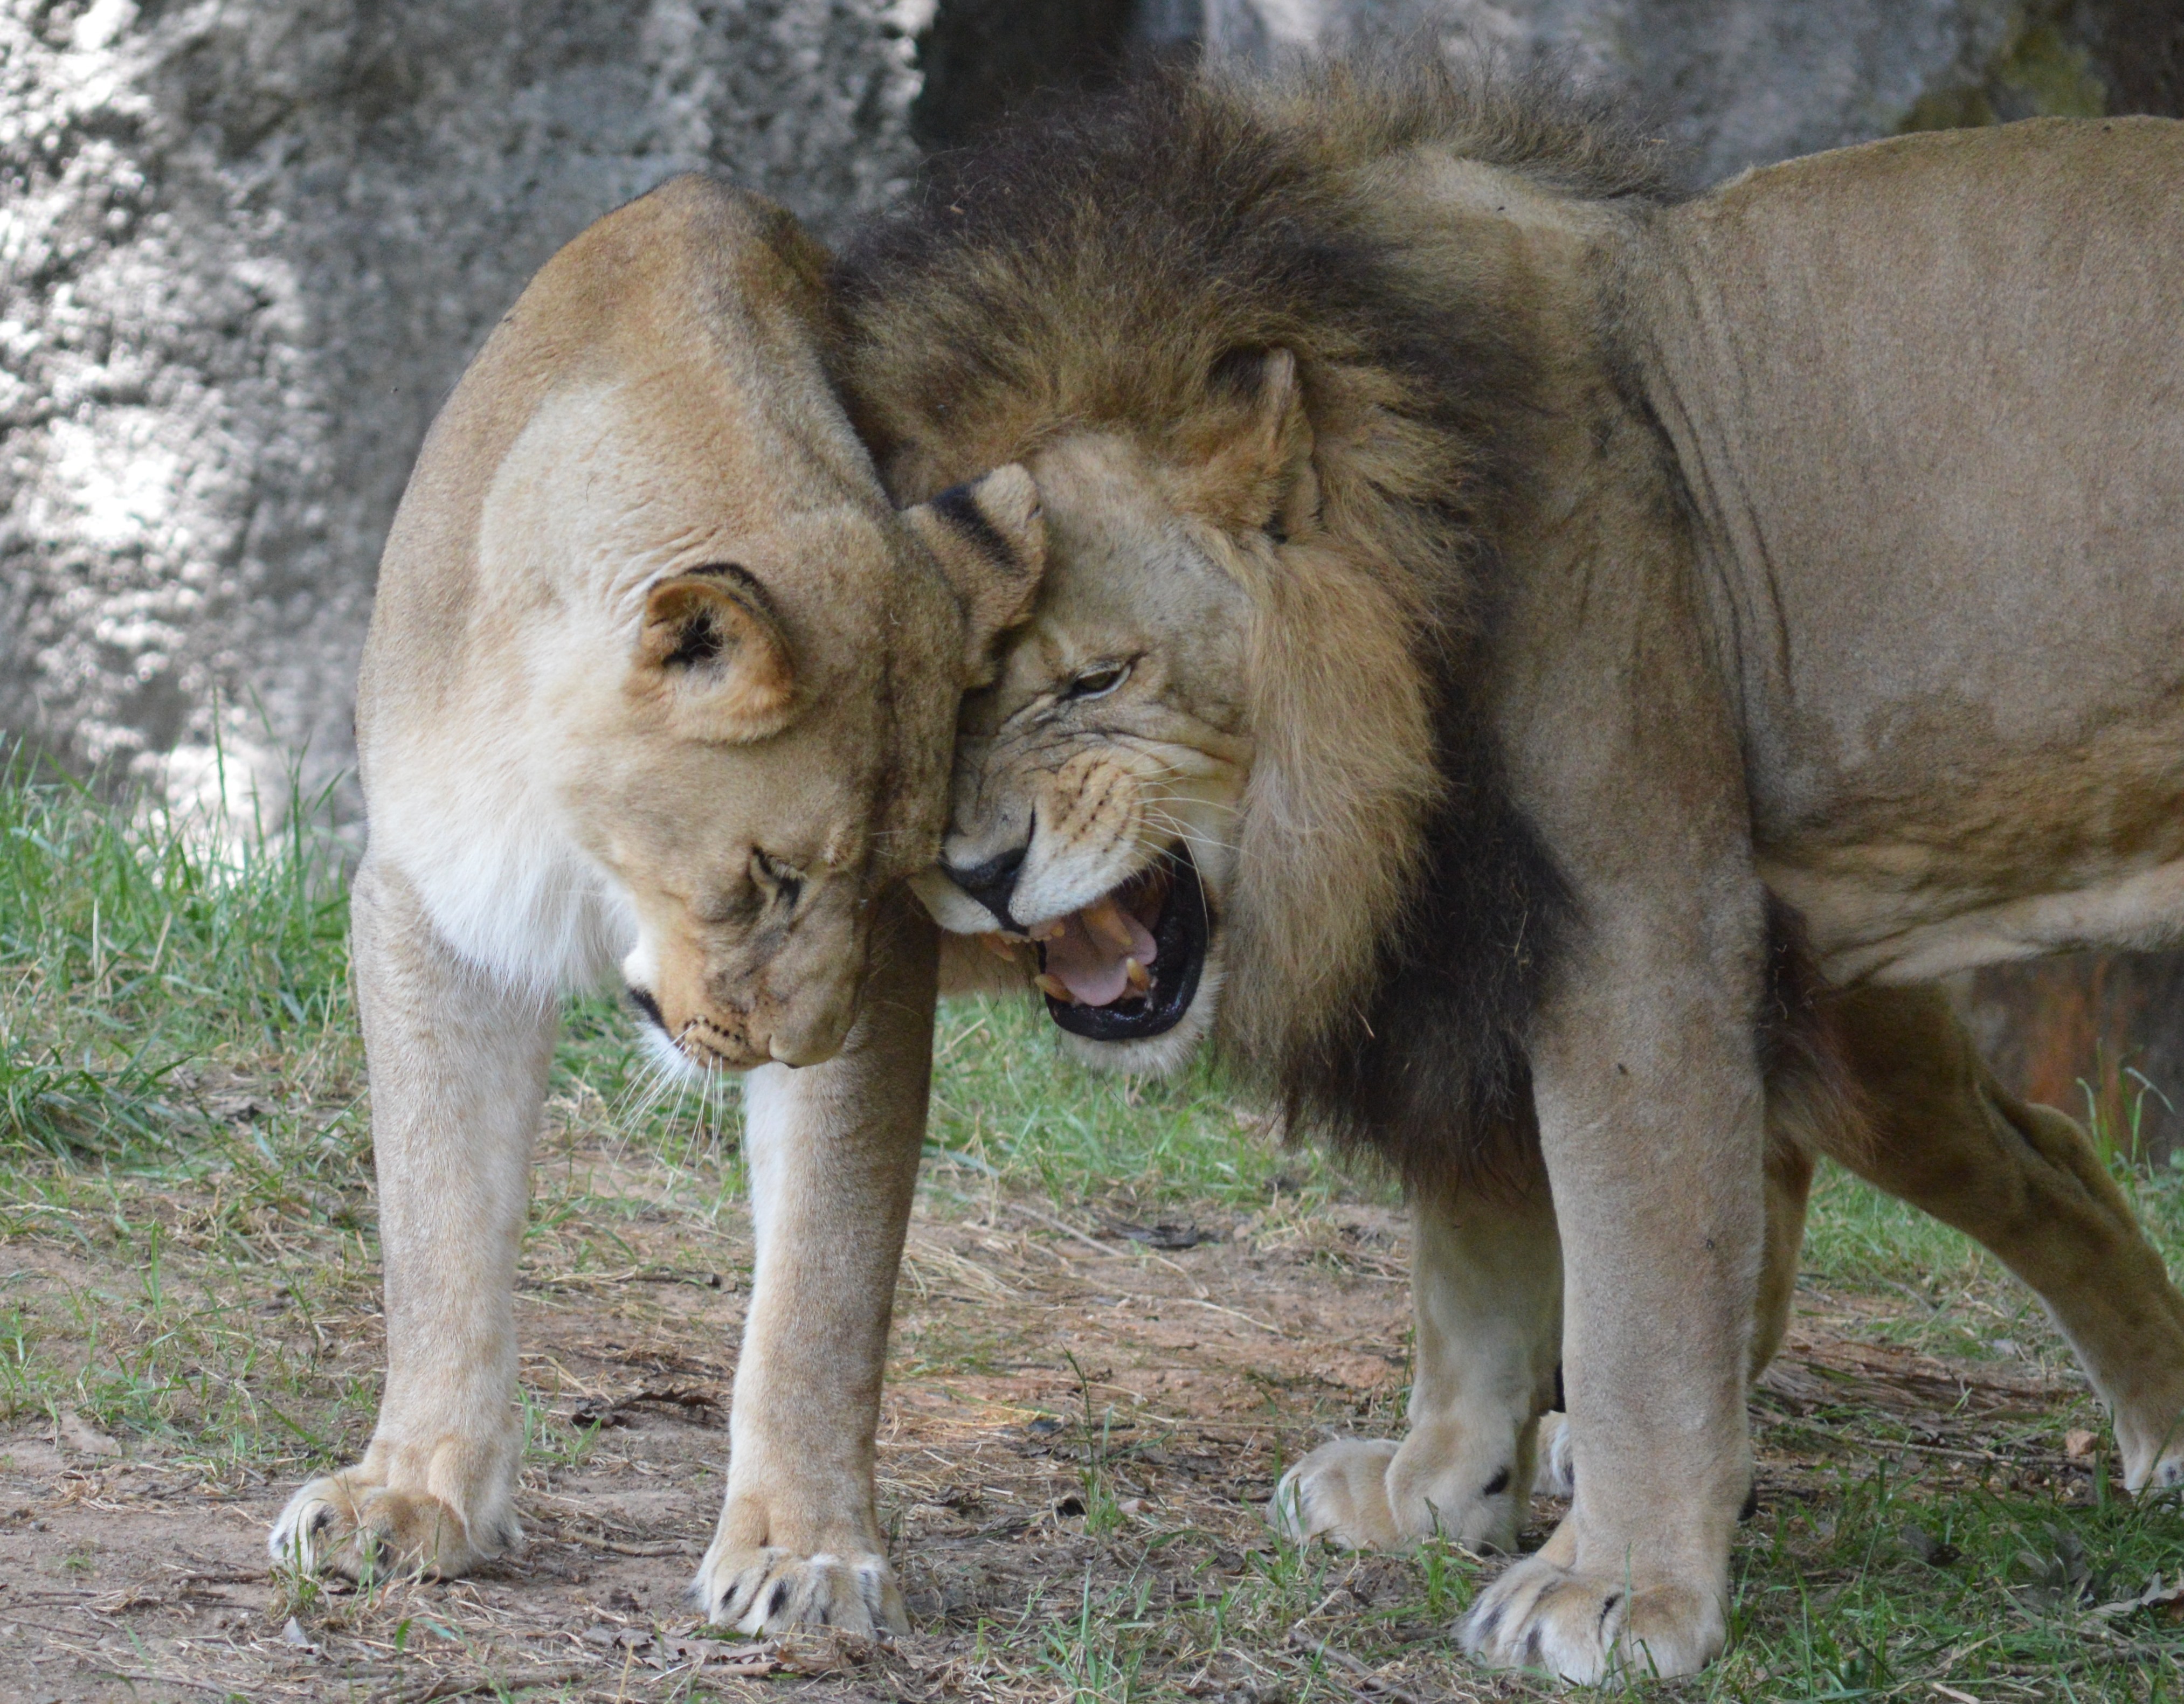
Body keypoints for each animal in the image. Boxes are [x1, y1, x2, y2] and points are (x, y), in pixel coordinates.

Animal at [268, 176, 1043, 1634]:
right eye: (773, 873)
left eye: (893, 878)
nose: (803, 1041)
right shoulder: (426, 909)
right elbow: (438, 1226)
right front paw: (407, 1495)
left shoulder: (884, 979)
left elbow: (824, 1280)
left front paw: (805, 1552)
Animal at [812, 70, 2184, 1678]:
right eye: (936, 695)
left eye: (1094, 679)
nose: (974, 869)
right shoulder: (1453, 961)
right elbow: (1468, 1267)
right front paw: (1436, 1488)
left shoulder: (1636, 936)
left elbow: (1635, 1289)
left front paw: (1620, 1585)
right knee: (2045, 1153)